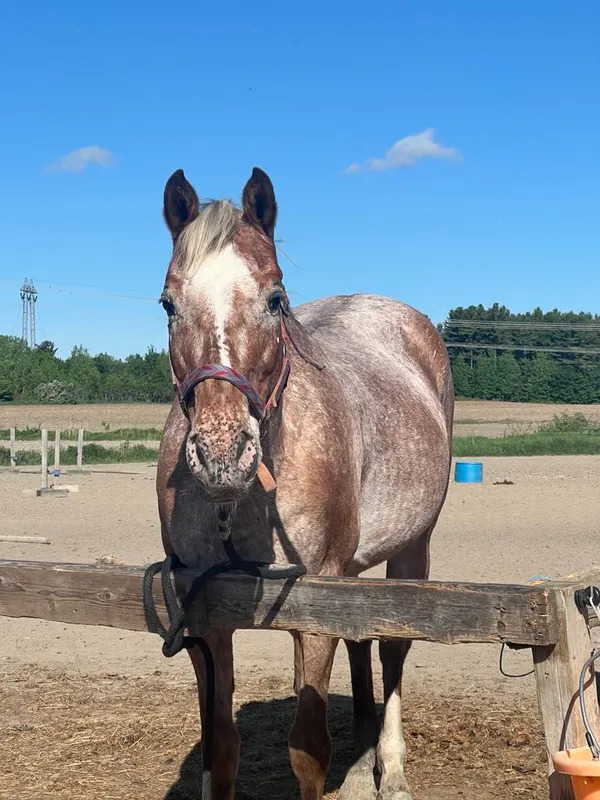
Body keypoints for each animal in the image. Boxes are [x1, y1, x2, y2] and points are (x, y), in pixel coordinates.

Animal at [156, 166, 454, 800]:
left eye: (275, 298)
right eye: (168, 303)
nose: (222, 455)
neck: (242, 503)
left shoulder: (314, 611)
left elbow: (308, 752)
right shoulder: (205, 619)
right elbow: (221, 747)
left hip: (413, 547)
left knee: (393, 649)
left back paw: (390, 769)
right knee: (364, 641)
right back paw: (363, 754)